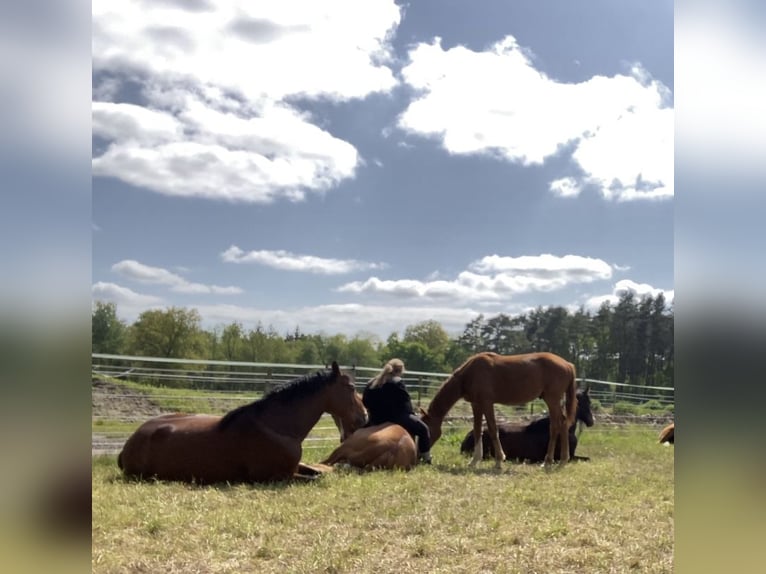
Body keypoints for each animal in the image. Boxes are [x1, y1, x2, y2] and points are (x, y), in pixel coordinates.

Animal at [118, 364, 368, 486]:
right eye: (351, 388)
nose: (365, 417)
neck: (276, 427)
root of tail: (128, 445)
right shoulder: (276, 476)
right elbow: (316, 477)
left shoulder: (294, 467)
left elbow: (318, 471)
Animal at [420, 354, 576, 470]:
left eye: (427, 430)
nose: (422, 457)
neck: (470, 373)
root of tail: (568, 364)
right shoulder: (476, 405)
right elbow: (477, 430)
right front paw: (474, 461)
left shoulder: (487, 403)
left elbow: (492, 429)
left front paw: (499, 461)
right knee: (560, 424)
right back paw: (558, 461)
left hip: (552, 400)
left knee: (557, 425)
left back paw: (552, 462)